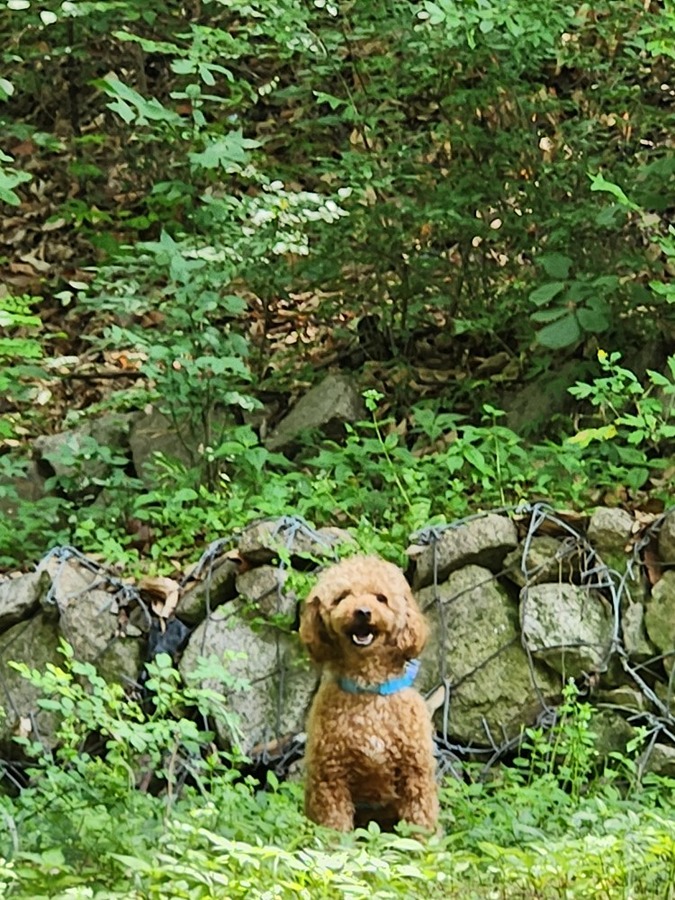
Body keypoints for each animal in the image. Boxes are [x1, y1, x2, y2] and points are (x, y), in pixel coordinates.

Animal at [300, 552, 438, 832]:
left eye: (380, 598)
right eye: (342, 597)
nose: (362, 612)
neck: (368, 688)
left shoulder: (416, 778)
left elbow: (420, 829)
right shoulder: (330, 781)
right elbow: (336, 831)